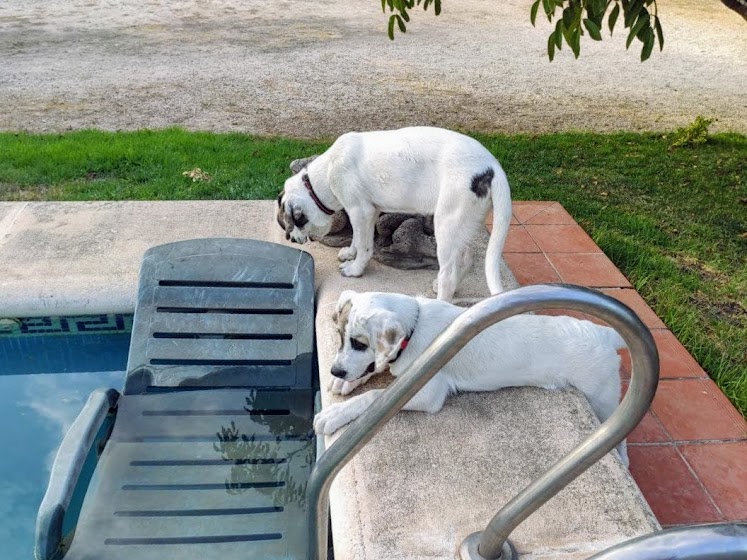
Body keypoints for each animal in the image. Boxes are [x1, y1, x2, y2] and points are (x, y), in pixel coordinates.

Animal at [276, 126, 516, 302]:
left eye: (293, 222)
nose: (291, 239)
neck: (324, 175)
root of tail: (493, 167)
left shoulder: (360, 211)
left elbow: (365, 246)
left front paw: (355, 269)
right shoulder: (369, 212)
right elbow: (357, 238)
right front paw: (350, 253)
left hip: (446, 223)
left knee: (448, 273)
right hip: (462, 224)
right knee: (465, 259)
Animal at [316, 290, 632, 466]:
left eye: (359, 343)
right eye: (340, 337)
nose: (335, 371)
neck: (414, 327)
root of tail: (604, 332)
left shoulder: (426, 392)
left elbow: (374, 397)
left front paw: (335, 414)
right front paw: (347, 381)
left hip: (602, 396)